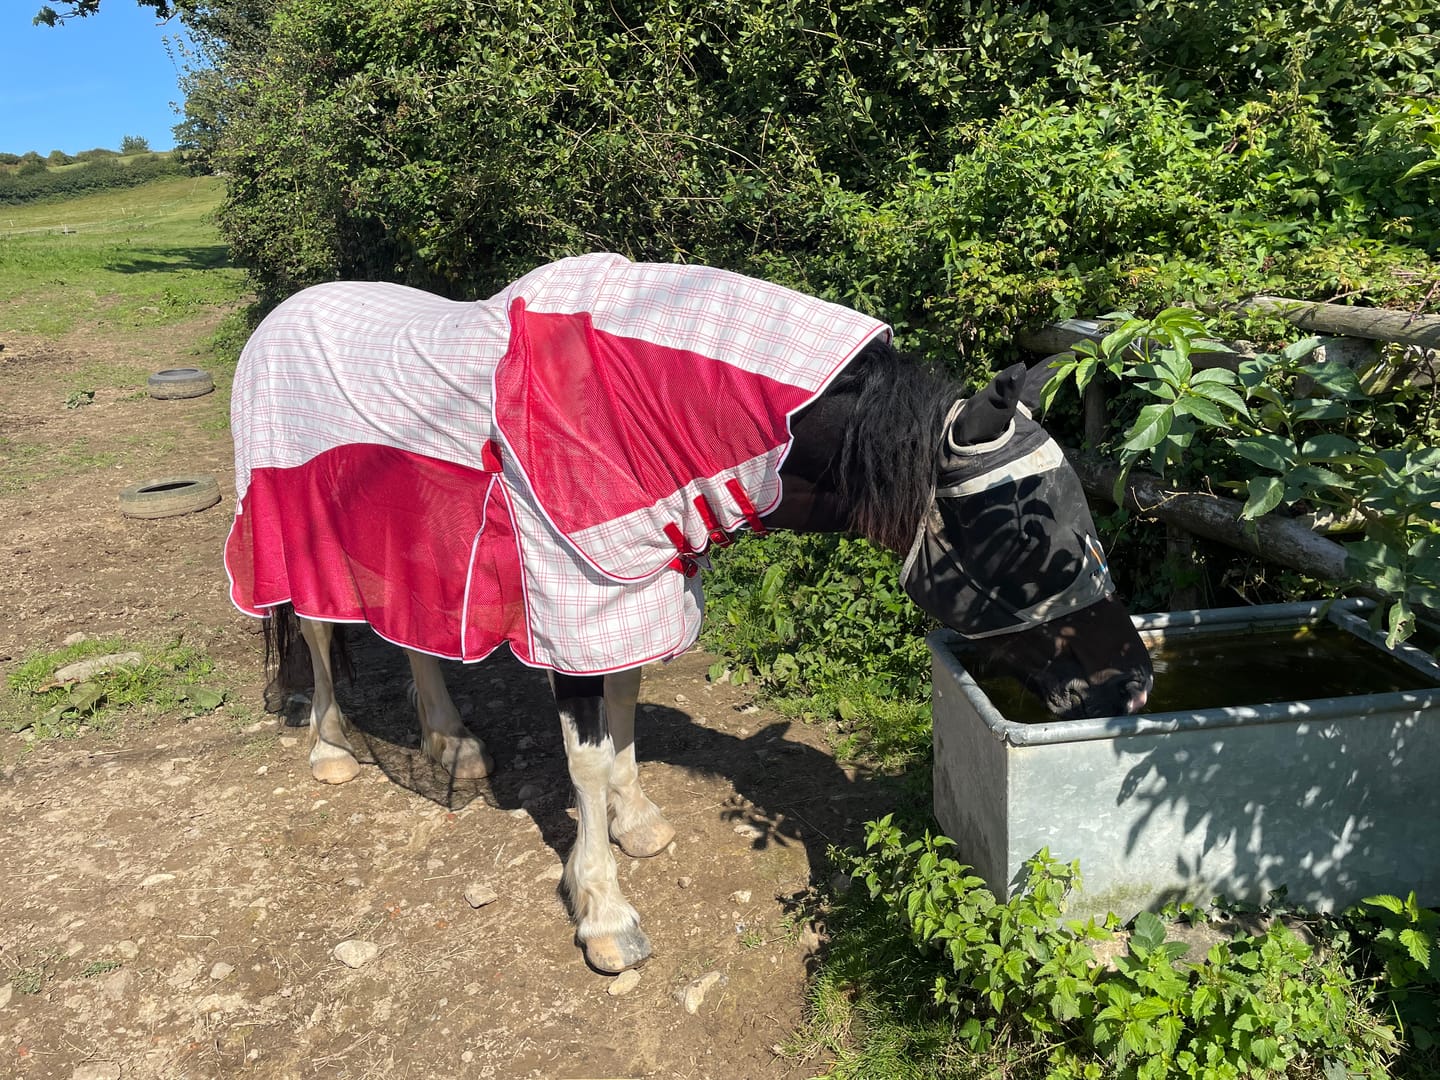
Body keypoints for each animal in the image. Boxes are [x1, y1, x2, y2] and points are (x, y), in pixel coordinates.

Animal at [225, 254, 1153, 974]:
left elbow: (627, 713)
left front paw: (635, 824)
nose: (1134, 682)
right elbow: (587, 758)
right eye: (1031, 534)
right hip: (295, 534)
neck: (630, 407)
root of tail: (275, 320)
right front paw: (603, 913)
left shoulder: (641, 590)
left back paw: (451, 744)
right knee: (318, 632)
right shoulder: (579, 604)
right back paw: (332, 751)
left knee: (416, 635)